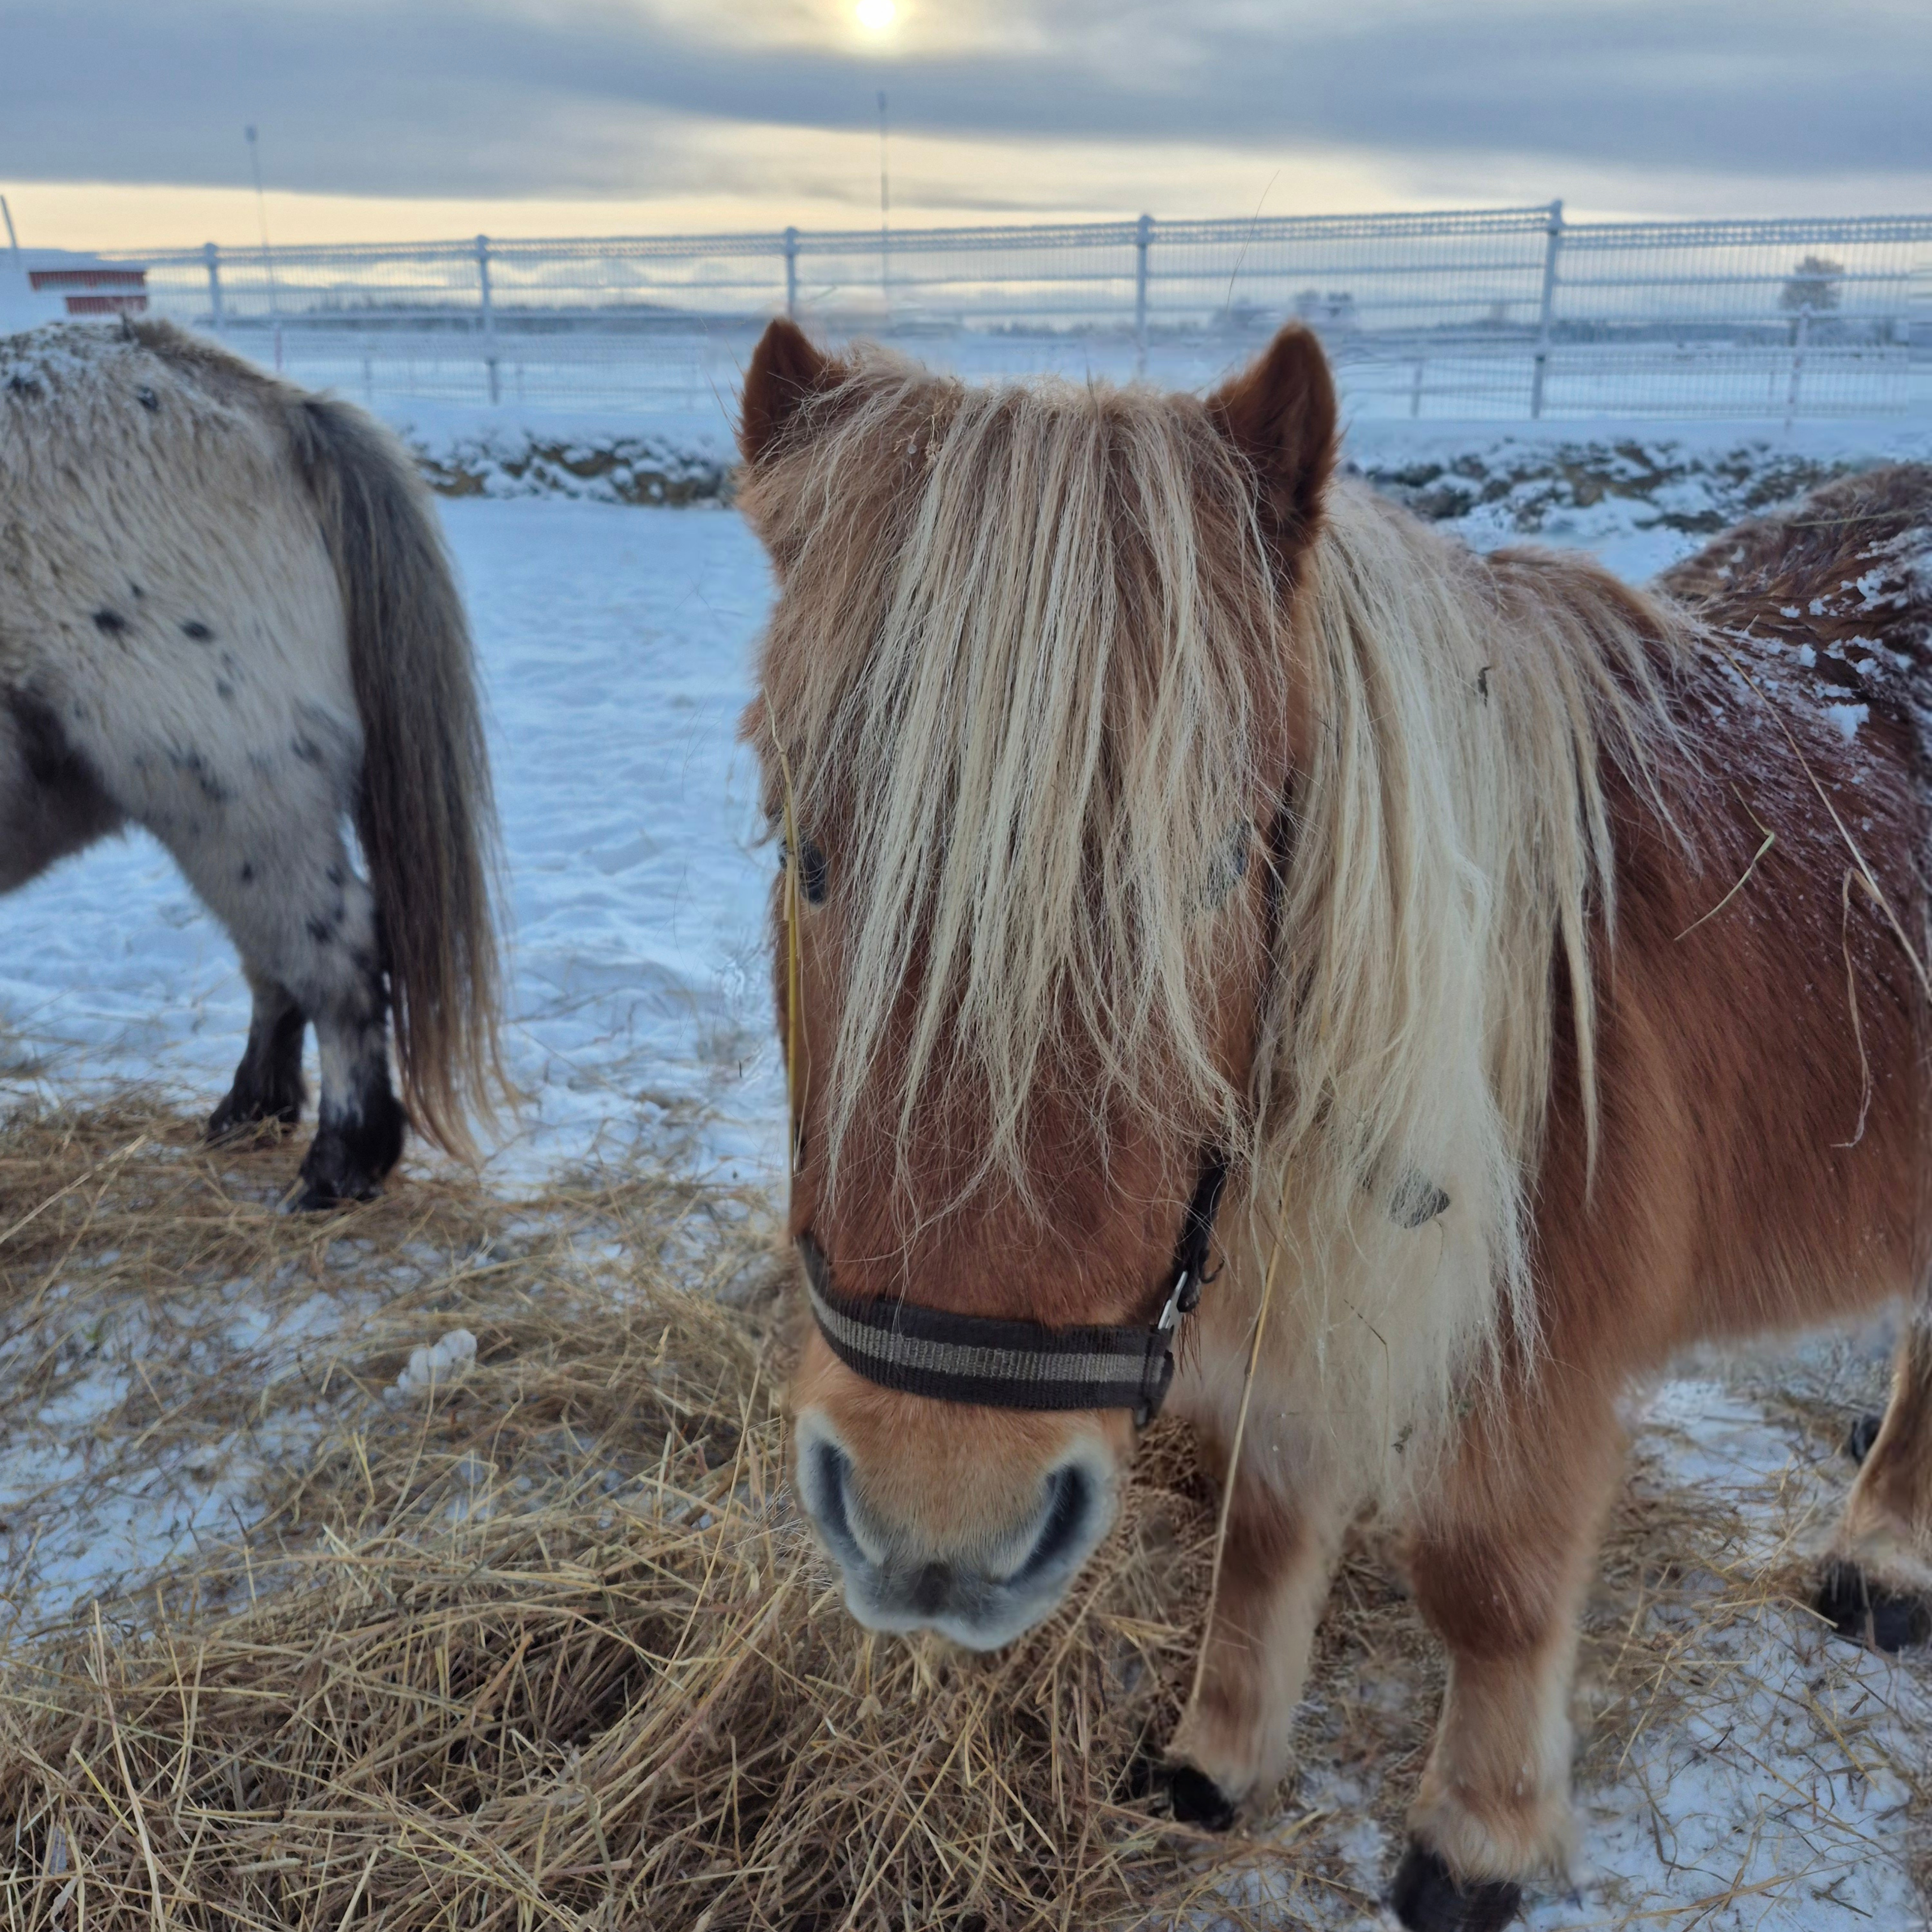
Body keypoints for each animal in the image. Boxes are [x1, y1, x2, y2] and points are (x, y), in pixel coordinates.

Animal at [2, 322, 498, 1198]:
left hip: (226, 792)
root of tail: (277, 409)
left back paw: (340, 1161)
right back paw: (252, 1112)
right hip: (235, 807)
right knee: (278, 961)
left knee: (336, 953)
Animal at [734, 317, 1932, 1932]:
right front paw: (1217, 1761)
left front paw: (1476, 1844)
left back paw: (1881, 1565)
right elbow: (1263, 1534)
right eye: (806, 854)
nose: (937, 1532)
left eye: (1218, 869)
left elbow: (1489, 1590)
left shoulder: (1535, 1368)